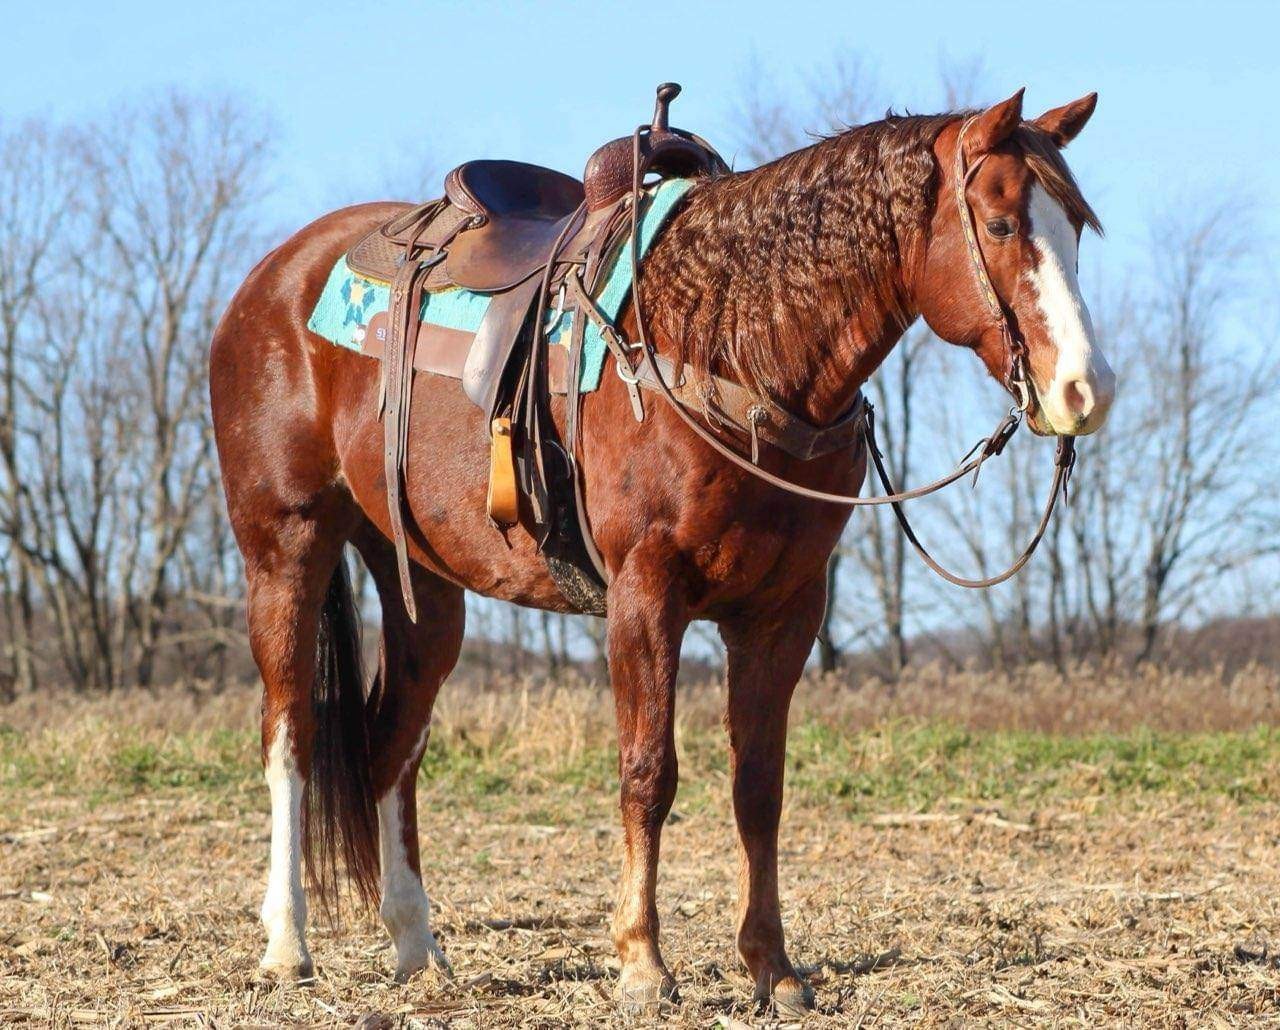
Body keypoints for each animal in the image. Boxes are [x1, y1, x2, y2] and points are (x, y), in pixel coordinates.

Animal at [209, 88, 1115, 1012]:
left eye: (1078, 227)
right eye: (1000, 224)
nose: (1086, 390)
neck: (728, 337)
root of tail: (273, 275)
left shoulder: (785, 610)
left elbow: (759, 787)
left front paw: (772, 966)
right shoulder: (647, 594)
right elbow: (648, 773)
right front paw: (642, 962)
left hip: (422, 585)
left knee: (394, 745)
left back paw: (417, 947)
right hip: (286, 547)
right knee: (289, 736)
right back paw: (286, 945)